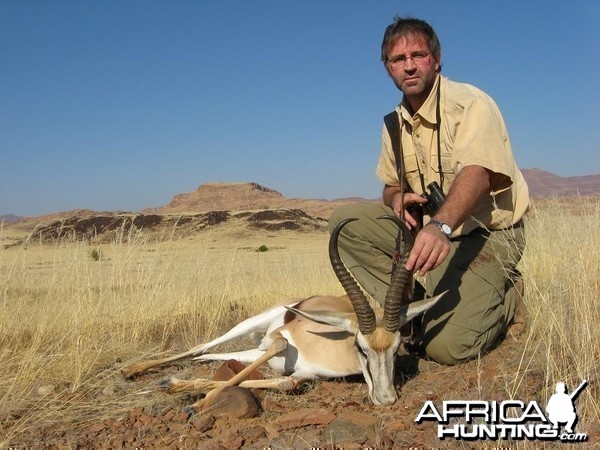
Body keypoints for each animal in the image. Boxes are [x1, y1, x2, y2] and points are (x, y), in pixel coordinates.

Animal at [122, 217, 442, 408]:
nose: (387, 399)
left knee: (207, 355)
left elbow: (285, 382)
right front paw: (194, 402)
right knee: (201, 346)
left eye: (397, 348)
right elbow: (276, 345)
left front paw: (178, 388)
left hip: (251, 350)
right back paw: (131, 369)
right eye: (361, 348)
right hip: (252, 323)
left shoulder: (303, 375)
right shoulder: (277, 339)